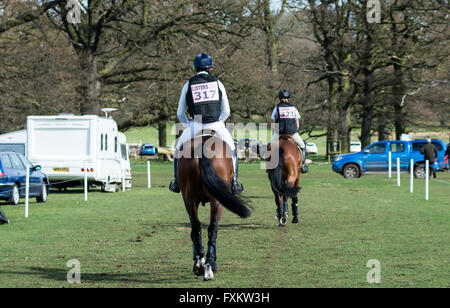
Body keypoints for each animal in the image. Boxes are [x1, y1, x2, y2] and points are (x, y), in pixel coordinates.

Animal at [178, 132, 251, 280]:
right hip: (217, 201)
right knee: (213, 228)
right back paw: (209, 267)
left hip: (189, 198)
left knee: (196, 227)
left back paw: (200, 264)